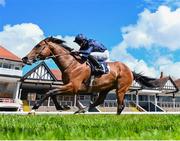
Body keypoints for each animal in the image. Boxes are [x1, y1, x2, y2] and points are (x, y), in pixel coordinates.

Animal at [22, 36, 158, 114]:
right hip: (105, 88)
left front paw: (34, 107)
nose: (25, 58)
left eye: (38, 45)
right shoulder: (68, 86)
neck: (72, 64)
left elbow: (50, 92)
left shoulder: (73, 87)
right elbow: (52, 92)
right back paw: (82, 110)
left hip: (121, 89)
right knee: (99, 101)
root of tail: (129, 70)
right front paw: (62, 107)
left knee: (120, 105)